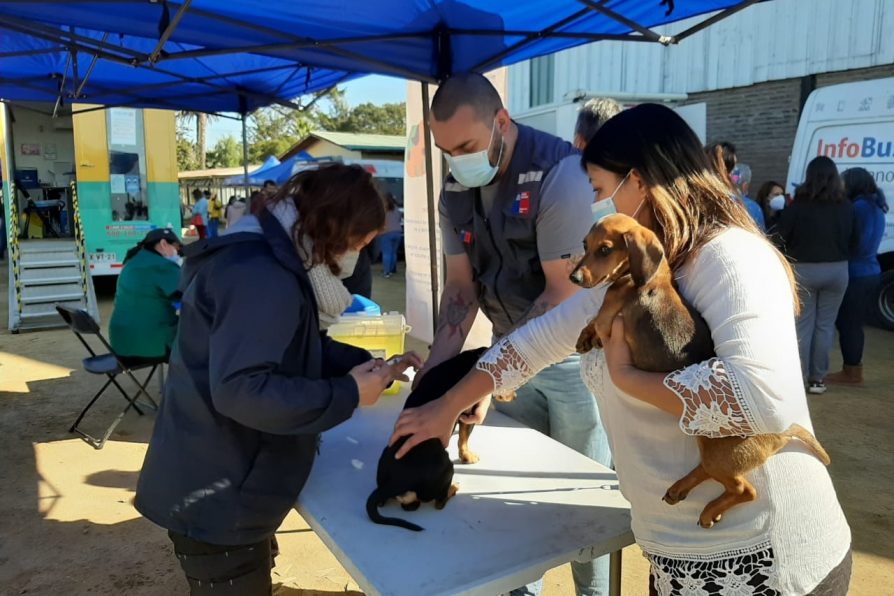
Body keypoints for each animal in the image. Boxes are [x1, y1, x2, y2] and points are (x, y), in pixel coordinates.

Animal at [366, 346, 486, 532]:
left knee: (410, 506)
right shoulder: (468, 416)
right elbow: (464, 438)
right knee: (439, 502)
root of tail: (397, 480)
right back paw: (453, 488)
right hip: (447, 469)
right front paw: (468, 456)